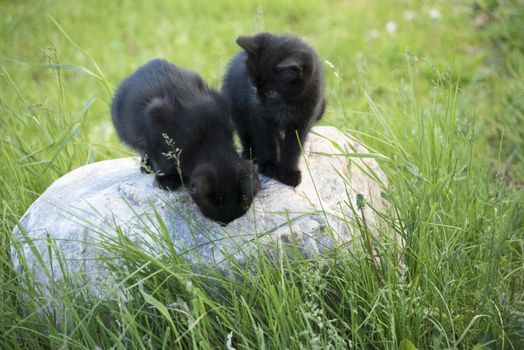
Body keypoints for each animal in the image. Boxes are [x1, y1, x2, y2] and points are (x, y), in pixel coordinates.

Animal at [222, 31, 328, 187]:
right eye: (252, 85)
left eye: (271, 92)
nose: (258, 101)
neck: (285, 104)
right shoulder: (260, 116)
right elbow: (266, 138)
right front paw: (269, 166)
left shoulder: (305, 118)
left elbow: (294, 146)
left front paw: (288, 172)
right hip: (237, 109)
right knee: (244, 132)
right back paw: (251, 154)